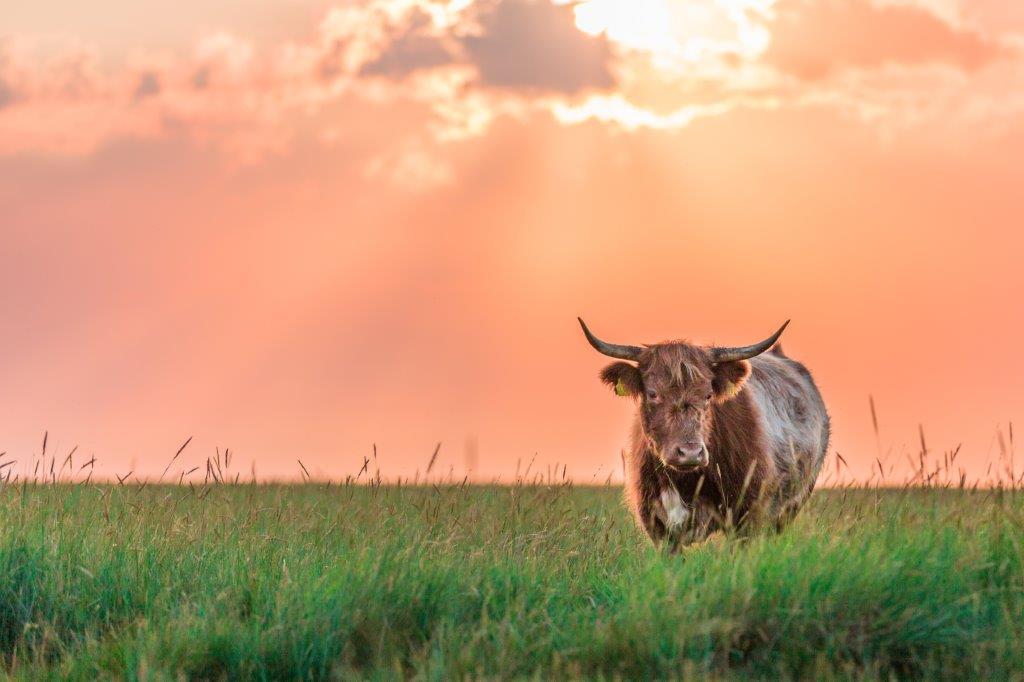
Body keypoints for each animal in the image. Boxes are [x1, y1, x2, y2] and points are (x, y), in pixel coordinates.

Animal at [581, 317, 827, 548]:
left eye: (708, 395)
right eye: (653, 394)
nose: (690, 453)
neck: (684, 483)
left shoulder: (747, 518)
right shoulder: (657, 526)